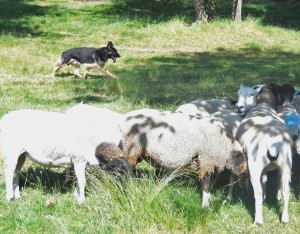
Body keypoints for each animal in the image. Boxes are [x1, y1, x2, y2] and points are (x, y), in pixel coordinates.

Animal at [0, 104, 130, 203]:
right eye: (118, 172)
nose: (127, 193)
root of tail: (4, 118)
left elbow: (77, 178)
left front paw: (76, 195)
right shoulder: (79, 159)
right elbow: (82, 180)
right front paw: (82, 200)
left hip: (21, 154)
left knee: (16, 172)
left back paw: (17, 196)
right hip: (11, 150)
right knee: (8, 172)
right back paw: (9, 198)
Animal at [236, 87, 292, 224]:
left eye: (251, 94)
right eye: (238, 94)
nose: (239, 107)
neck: (263, 105)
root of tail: (272, 144)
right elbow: (267, 179)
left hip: (254, 164)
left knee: (258, 192)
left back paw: (258, 220)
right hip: (286, 164)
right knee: (286, 190)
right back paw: (285, 218)